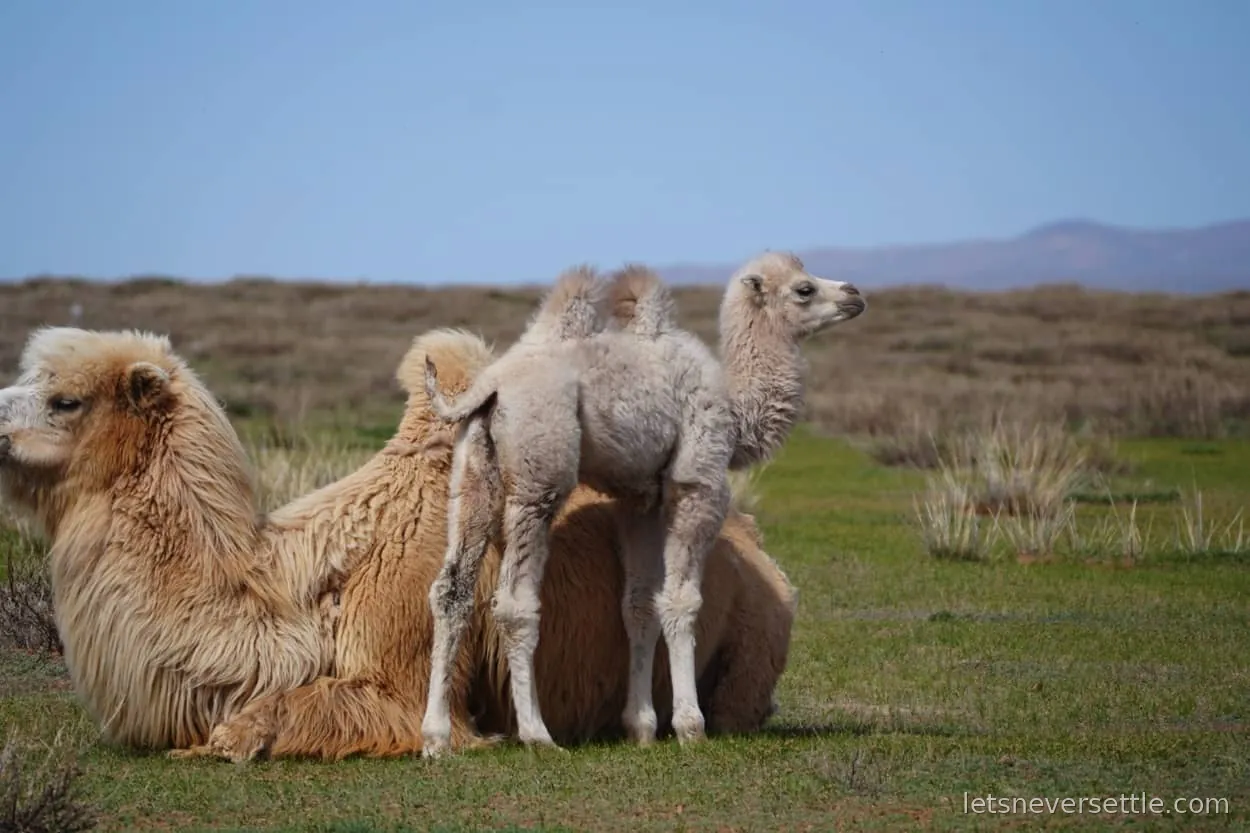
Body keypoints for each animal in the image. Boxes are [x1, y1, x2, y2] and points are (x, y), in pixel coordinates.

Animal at [0, 324, 797, 761]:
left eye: (65, 399)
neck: (292, 590)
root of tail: (757, 545)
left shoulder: (396, 669)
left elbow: (276, 717)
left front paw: (224, 742)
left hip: (756, 642)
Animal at [421, 252, 866, 755]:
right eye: (804, 289)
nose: (854, 294)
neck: (734, 411)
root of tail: (490, 386)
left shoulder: (640, 503)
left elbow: (638, 604)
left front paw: (642, 727)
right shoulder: (697, 484)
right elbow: (681, 600)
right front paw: (690, 726)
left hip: (474, 470)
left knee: (451, 590)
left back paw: (436, 738)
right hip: (539, 475)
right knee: (515, 602)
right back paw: (537, 735)